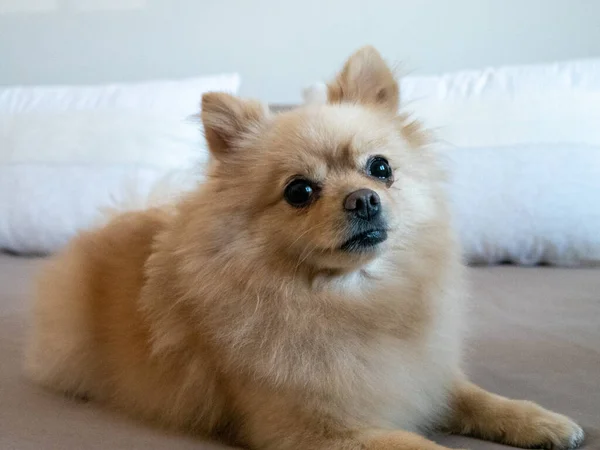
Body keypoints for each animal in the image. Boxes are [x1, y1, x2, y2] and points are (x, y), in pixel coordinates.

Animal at [25, 46, 584, 450]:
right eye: (299, 191)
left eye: (380, 167)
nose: (364, 199)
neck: (352, 301)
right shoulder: (314, 431)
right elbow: (422, 447)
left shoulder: (426, 375)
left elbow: (480, 399)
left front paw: (541, 421)